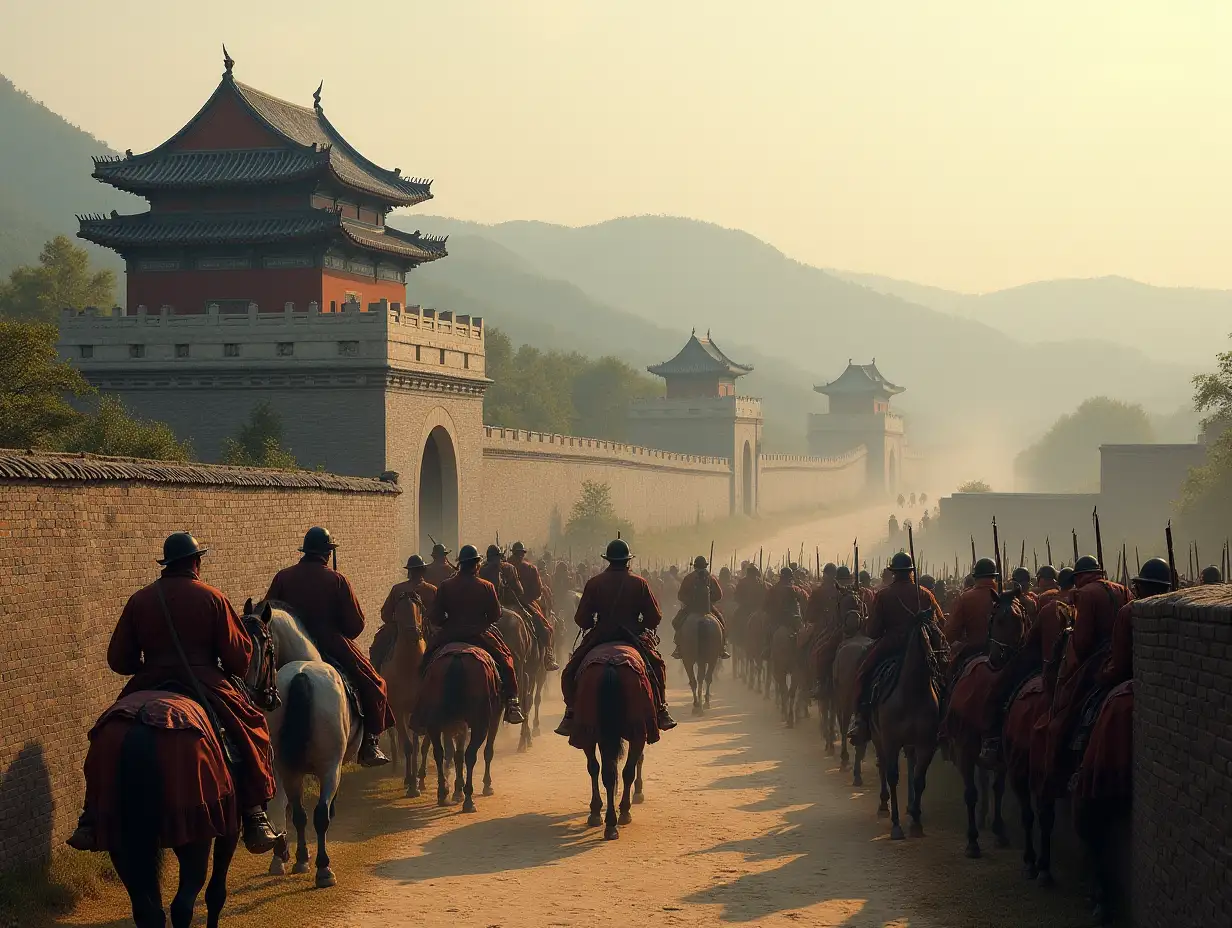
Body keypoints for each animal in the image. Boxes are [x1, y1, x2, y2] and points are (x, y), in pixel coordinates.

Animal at [242, 596, 359, 887]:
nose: (256, 693)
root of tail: (301, 675)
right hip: (329, 767)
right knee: (318, 815)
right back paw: (323, 868)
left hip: (287, 768)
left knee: (296, 813)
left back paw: (295, 858)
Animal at [411, 645, 502, 808]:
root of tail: (457, 658)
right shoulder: (494, 718)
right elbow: (486, 751)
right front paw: (486, 785)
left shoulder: (453, 725)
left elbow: (455, 754)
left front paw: (456, 790)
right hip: (479, 722)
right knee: (470, 755)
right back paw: (468, 799)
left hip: (436, 722)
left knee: (439, 753)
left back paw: (443, 793)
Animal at [569, 645, 665, 838]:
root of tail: (611, 663)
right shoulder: (640, 729)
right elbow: (635, 762)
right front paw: (637, 793)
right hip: (635, 727)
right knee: (625, 770)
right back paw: (621, 814)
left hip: (590, 726)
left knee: (600, 770)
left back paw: (602, 818)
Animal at [867, 608, 941, 838]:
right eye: (929, 636)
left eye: (941, 633)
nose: (942, 661)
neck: (913, 693)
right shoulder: (890, 741)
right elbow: (892, 776)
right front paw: (896, 824)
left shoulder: (927, 744)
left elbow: (919, 779)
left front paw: (916, 821)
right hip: (878, 737)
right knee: (882, 765)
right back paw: (884, 805)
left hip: (908, 743)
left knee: (910, 762)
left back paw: (910, 807)